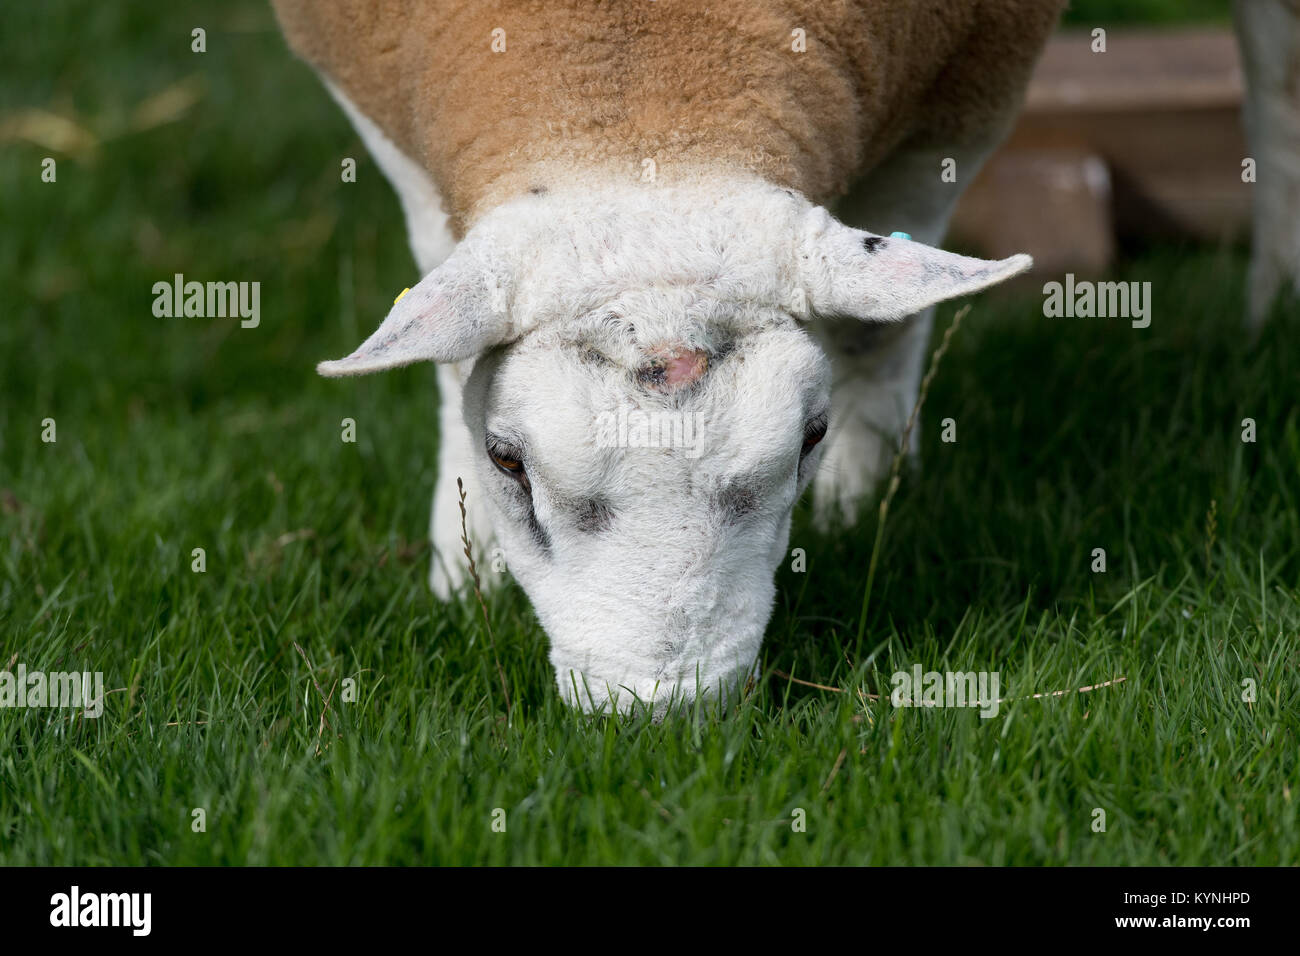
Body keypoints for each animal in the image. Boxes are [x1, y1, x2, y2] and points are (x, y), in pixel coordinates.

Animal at [271, 0, 1066, 712]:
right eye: (505, 461)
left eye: (813, 436)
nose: (662, 710)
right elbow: (446, 321)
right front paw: (468, 567)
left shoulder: (965, 93)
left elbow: (878, 336)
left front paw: (862, 507)